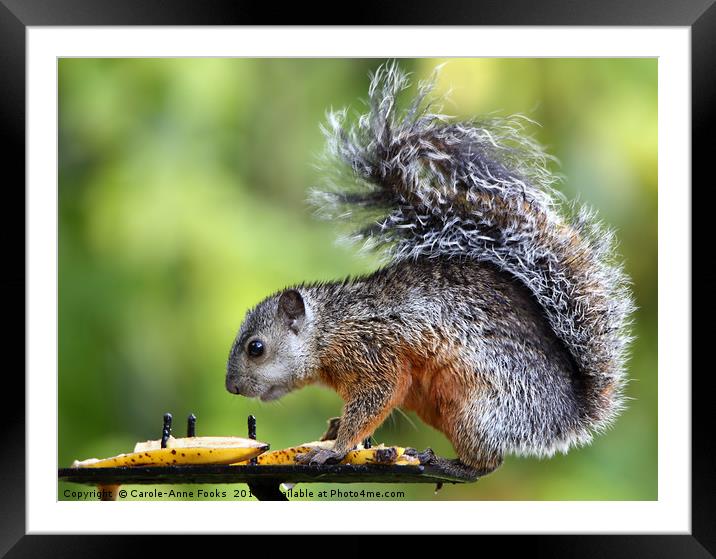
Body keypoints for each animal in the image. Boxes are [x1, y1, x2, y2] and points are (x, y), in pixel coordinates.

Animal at [225, 63, 632, 480]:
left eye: (256, 348)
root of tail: (566, 414)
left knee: (485, 465)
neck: (330, 327)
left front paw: (333, 450)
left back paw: (444, 464)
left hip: (478, 410)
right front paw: (334, 431)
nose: (232, 388)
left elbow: (376, 397)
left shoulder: (374, 352)